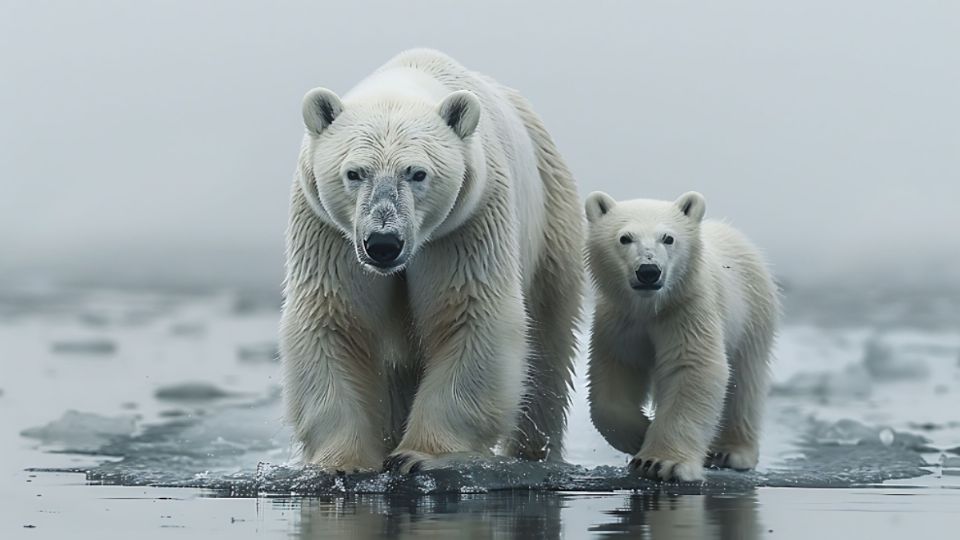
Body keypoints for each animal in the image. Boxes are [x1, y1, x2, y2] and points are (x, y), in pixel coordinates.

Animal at [284, 49, 584, 472]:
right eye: (354, 172)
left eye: (417, 173)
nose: (383, 243)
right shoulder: (328, 229)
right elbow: (335, 319)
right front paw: (344, 461)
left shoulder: (465, 223)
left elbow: (470, 315)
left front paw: (419, 455)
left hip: (551, 221)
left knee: (547, 345)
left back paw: (533, 451)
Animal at [584, 192, 780, 484]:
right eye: (625, 237)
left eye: (668, 237)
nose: (648, 271)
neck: (651, 307)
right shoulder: (619, 321)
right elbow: (614, 376)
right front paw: (641, 433)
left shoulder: (686, 310)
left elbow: (692, 367)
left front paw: (657, 462)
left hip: (753, 313)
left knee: (744, 381)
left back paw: (730, 451)